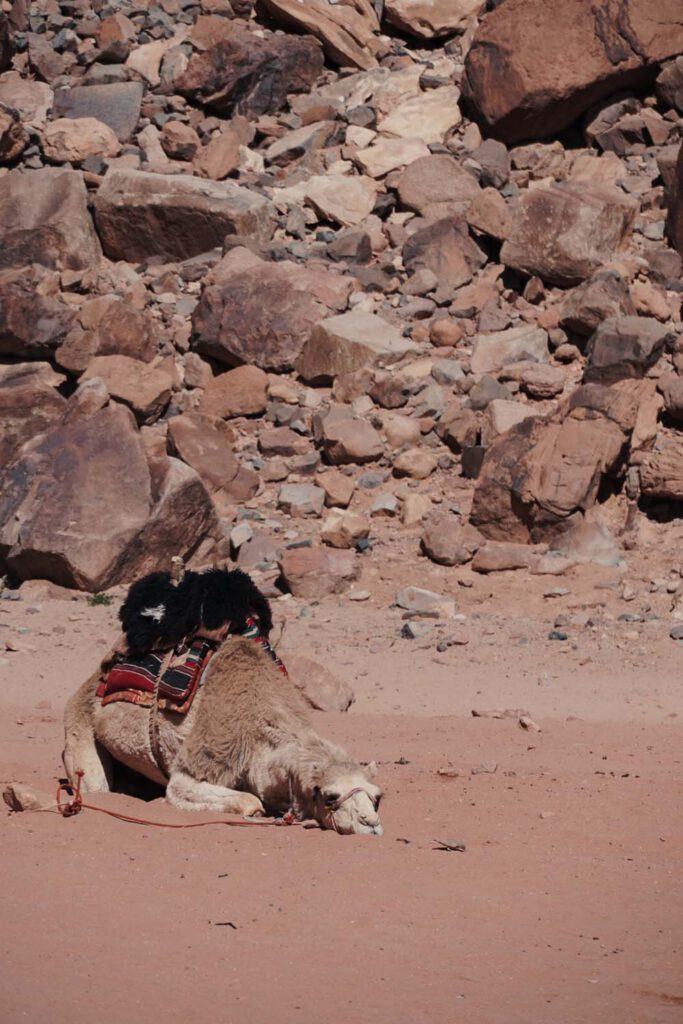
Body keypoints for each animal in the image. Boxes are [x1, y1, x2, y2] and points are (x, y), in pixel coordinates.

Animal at [63, 573, 382, 835]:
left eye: (377, 796)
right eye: (330, 796)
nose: (371, 823)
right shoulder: (196, 766)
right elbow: (247, 801)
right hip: (80, 722)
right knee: (94, 784)